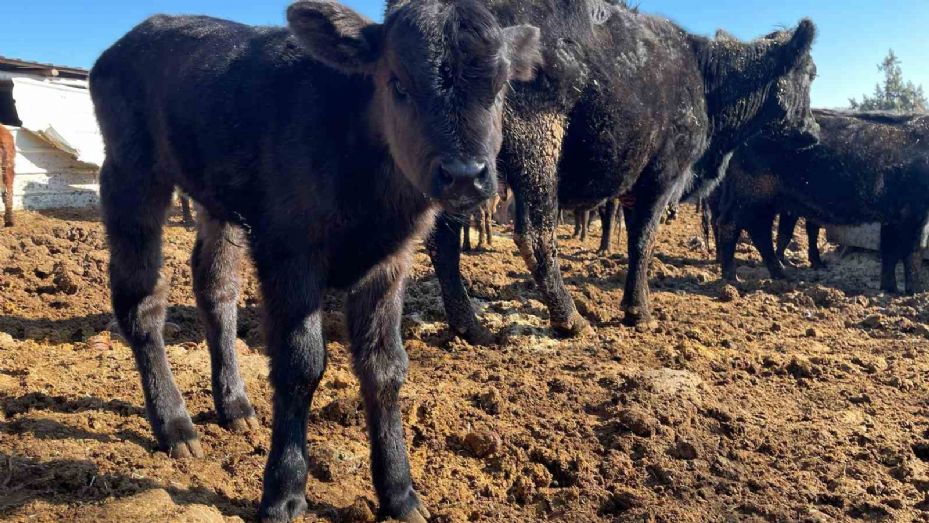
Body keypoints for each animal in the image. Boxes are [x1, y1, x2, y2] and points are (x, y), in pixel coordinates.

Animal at [90, 2, 540, 520]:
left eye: (500, 87)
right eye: (398, 83)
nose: (465, 175)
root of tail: (140, 32)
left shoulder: (390, 263)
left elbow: (385, 367)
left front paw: (400, 492)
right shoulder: (290, 250)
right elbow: (300, 364)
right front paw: (284, 492)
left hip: (218, 200)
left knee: (215, 285)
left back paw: (234, 406)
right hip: (130, 173)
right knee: (140, 299)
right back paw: (175, 425)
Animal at [426, 0, 812, 342]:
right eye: (809, 74)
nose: (812, 131)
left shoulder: (630, 184)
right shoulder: (661, 176)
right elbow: (643, 240)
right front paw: (639, 312)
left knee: (442, 241)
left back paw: (469, 326)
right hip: (536, 140)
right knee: (535, 235)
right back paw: (570, 318)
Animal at [708, 109, 924, 294]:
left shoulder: (894, 215)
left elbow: (890, 250)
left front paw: (891, 289)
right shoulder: (912, 211)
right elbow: (910, 252)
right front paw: (913, 292)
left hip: (764, 200)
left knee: (758, 231)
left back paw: (782, 276)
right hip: (751, 193)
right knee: (730, 224)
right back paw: (732, 279)